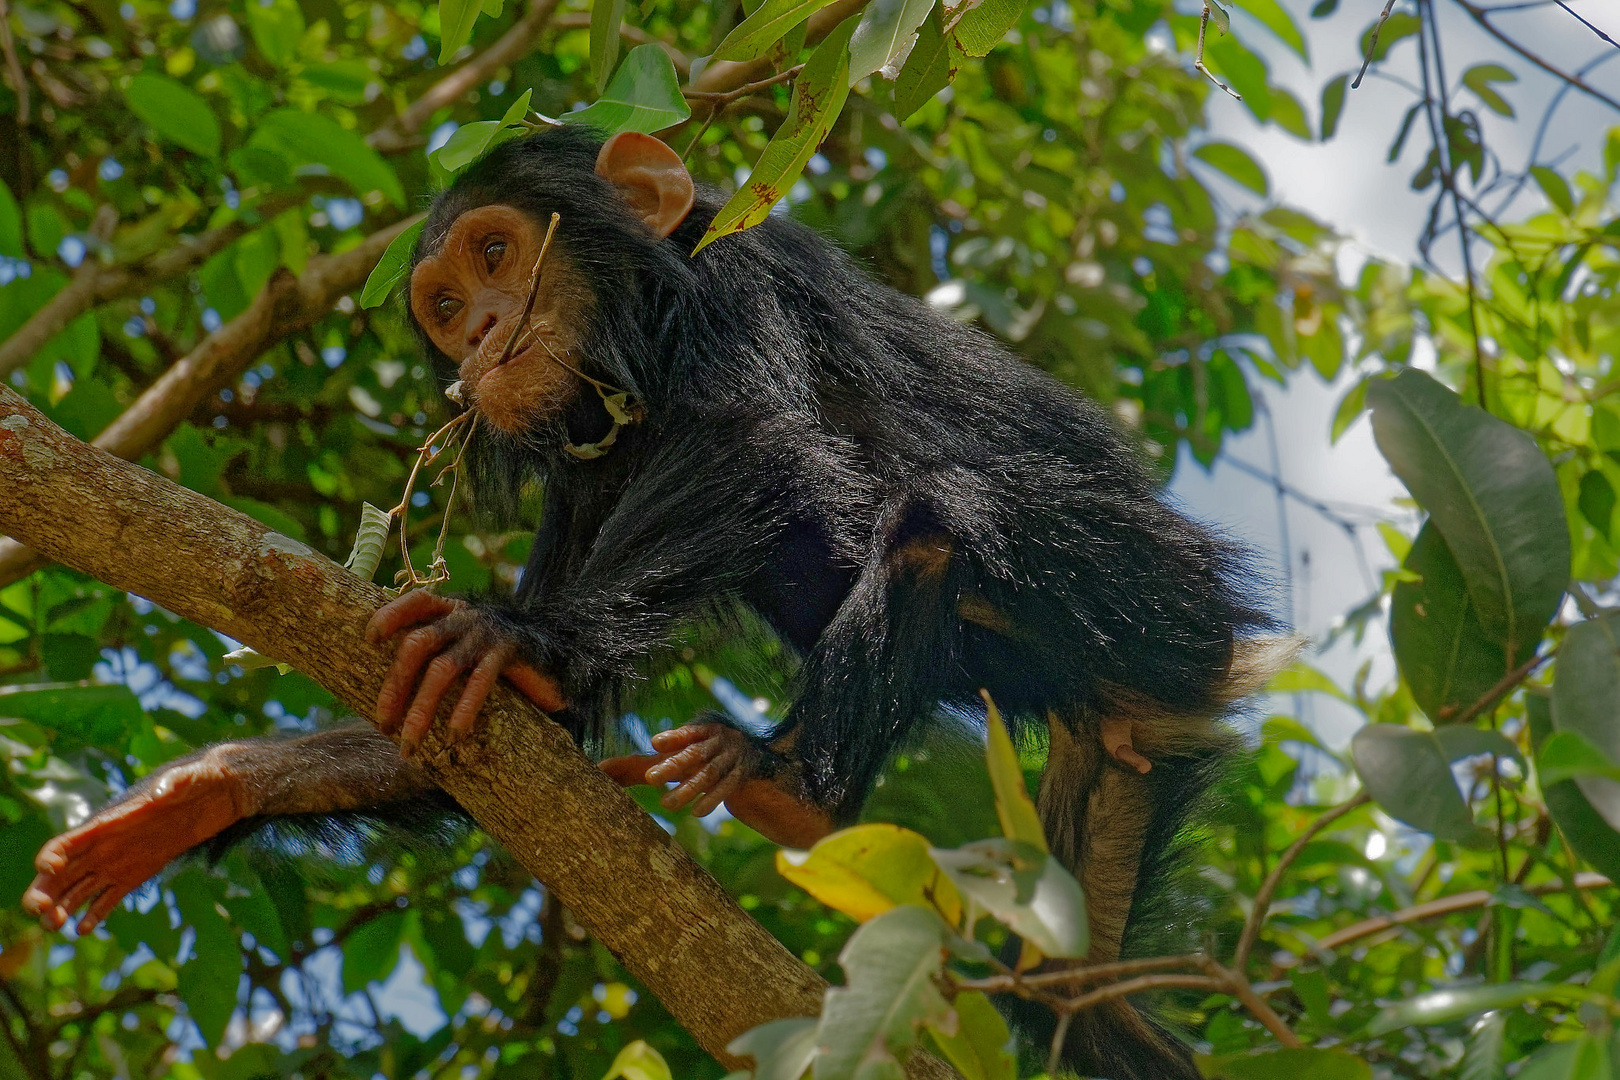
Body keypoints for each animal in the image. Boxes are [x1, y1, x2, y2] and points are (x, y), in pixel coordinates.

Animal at [25, 128, 1289, 1080]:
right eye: (444, 300)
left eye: (499, 252)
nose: (482, 331)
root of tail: (1191, 679)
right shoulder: (585, 461)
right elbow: (499, 723)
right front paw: (203, 793)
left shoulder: (738, 280)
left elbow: (748, 439)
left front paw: (518, 636)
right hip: (1106, 818)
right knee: (1071, 997)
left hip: (1152, 590)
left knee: (942, 514)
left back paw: (789, 785)